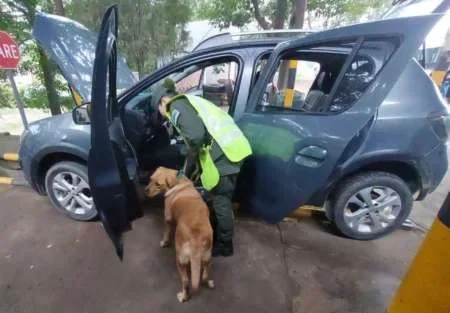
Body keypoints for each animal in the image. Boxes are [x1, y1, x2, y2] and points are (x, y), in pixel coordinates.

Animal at [145, 167, 214, 302]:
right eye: (150, 179)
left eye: (158, 184)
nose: (146, 191)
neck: (178, 180)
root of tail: (196, 239)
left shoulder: (167, 218)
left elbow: (166, 233)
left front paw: (164, 242)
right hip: (207, 256)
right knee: (205, 274)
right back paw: (209, 282)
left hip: (180, 260)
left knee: (186, 282)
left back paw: (183, 297)